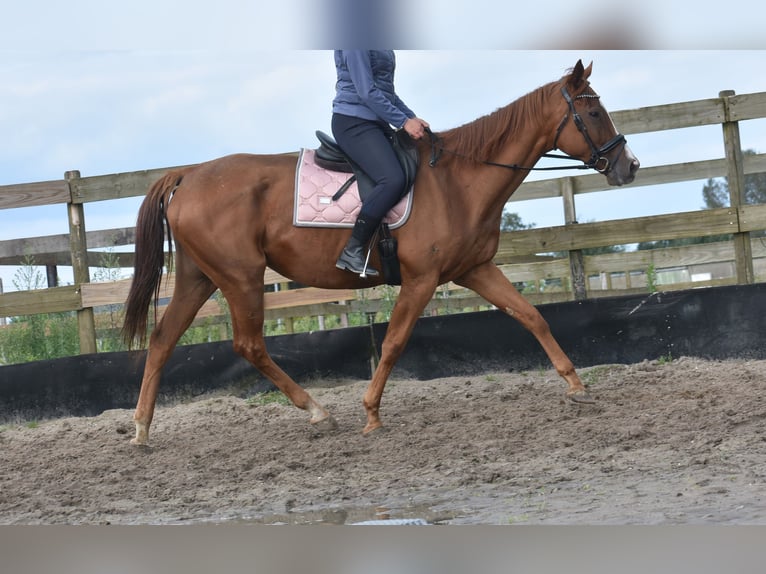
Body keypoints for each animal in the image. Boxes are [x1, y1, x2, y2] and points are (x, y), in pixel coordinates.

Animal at [123, 59, 640, 446]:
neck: (458, 181)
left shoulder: (475, 269)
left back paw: (143, 429)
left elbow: (532, 316)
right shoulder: (422, 279)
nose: (629, 166)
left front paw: (576, 386)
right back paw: (317, 412)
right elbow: (393, 342)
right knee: (247, 345)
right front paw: (371, 414)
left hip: (200, 277)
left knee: (163, 339)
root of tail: (189, 174)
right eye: (595, 114)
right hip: (241, 277)